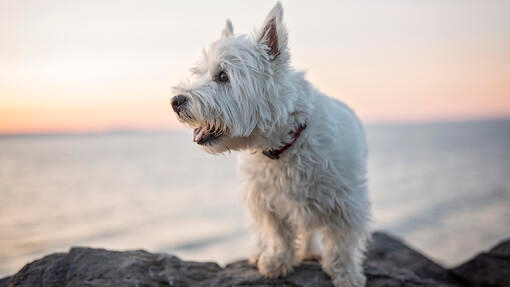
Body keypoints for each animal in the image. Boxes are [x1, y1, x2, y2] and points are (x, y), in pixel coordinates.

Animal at [171, 2, 370, 287]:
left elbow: (342, 243)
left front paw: (346, 274)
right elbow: (277, 234)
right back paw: (260, 253)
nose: (175, 101)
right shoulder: (265, 201)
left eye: (223, 76)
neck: (282, 146)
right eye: (200, 74)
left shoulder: (346, 202)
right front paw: (275, 262)